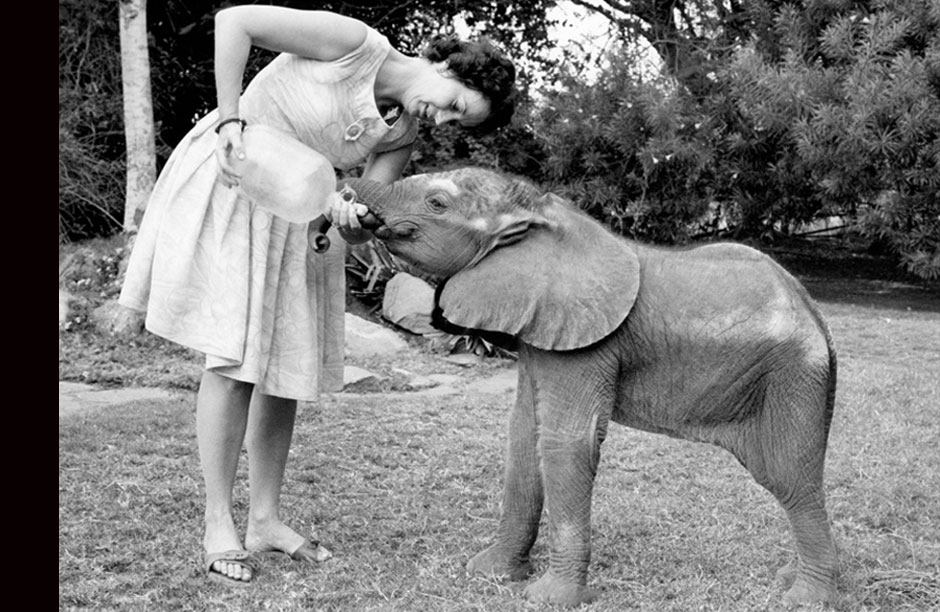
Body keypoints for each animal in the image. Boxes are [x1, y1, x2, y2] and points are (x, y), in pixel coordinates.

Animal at [344, 167, 836, 608]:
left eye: (437, 203)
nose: (349, 206)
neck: (538, 213)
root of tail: (812, 310)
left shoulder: (588, 346)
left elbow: (567, 440)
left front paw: (548, 598)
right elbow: (525, 435)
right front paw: (489, 574)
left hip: (791, 376)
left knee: (790, 478)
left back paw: (805, 597)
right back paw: (788, 576)